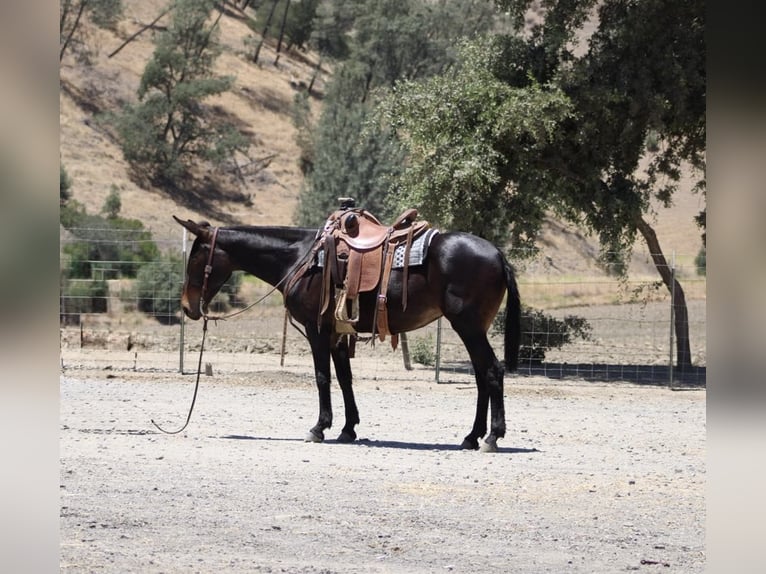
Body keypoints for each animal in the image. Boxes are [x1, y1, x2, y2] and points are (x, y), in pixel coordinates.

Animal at [174, 214, 521, 452]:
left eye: (196, 259)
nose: (187, 307)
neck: (301, 258)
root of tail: (498, 254)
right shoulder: (337, 334)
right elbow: (344, 379)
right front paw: (347, 429)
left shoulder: (317, 330)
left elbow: (322, 377)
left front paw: (319, 428)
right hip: (472, 328)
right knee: (481, 376)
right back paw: (471, 436)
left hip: (468, 326)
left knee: (492, 371)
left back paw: (492, 436)